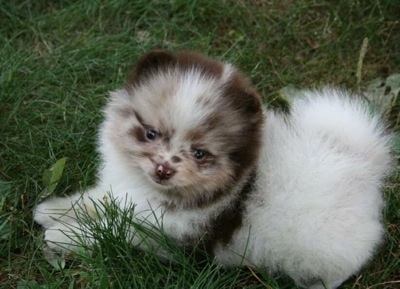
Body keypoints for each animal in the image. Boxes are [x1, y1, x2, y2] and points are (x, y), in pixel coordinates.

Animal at [33, 50, 390, 286]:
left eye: (200, 153)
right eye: (151, 133)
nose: (163, 168)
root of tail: (361, 162)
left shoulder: (168, 237)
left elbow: (113, 232)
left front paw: (64, 234)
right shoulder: (124, 192)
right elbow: (99, 201)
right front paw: (54, 211)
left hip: (324, 245)